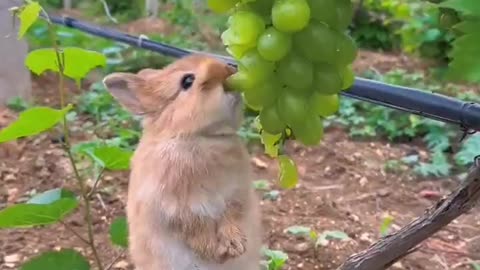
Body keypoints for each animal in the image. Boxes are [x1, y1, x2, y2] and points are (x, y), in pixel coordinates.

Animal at [103, 54, 262, 270]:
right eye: (187, 81)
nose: (230, 70)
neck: (197, 137)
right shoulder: (174, 208)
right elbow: (193, 227)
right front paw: (212, 250)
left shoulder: (236, 192)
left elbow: (231, 215)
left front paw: (235, 245)